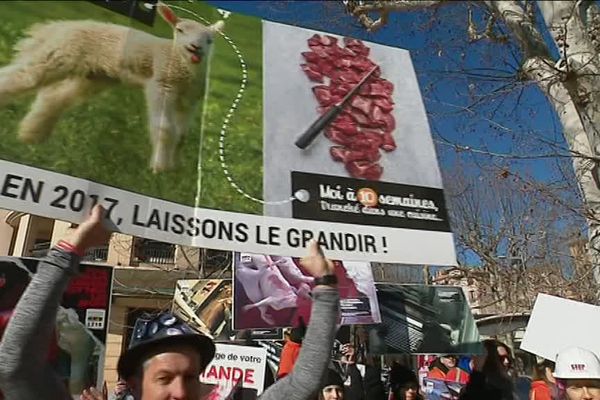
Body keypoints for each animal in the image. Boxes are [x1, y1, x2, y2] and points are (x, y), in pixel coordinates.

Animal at [0, 1, 224, 173]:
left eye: (210, 40)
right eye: (180, 30)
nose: (196, 48)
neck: (180, 63)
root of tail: (61, 26)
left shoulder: (189, 99)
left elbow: (182, 135)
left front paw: (174, 169)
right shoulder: (161, 85)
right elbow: (165, 128)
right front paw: (159, 169)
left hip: (94, 76)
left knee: (54, 97)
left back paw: (31, 137)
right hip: (58, 55)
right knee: (21, 77)